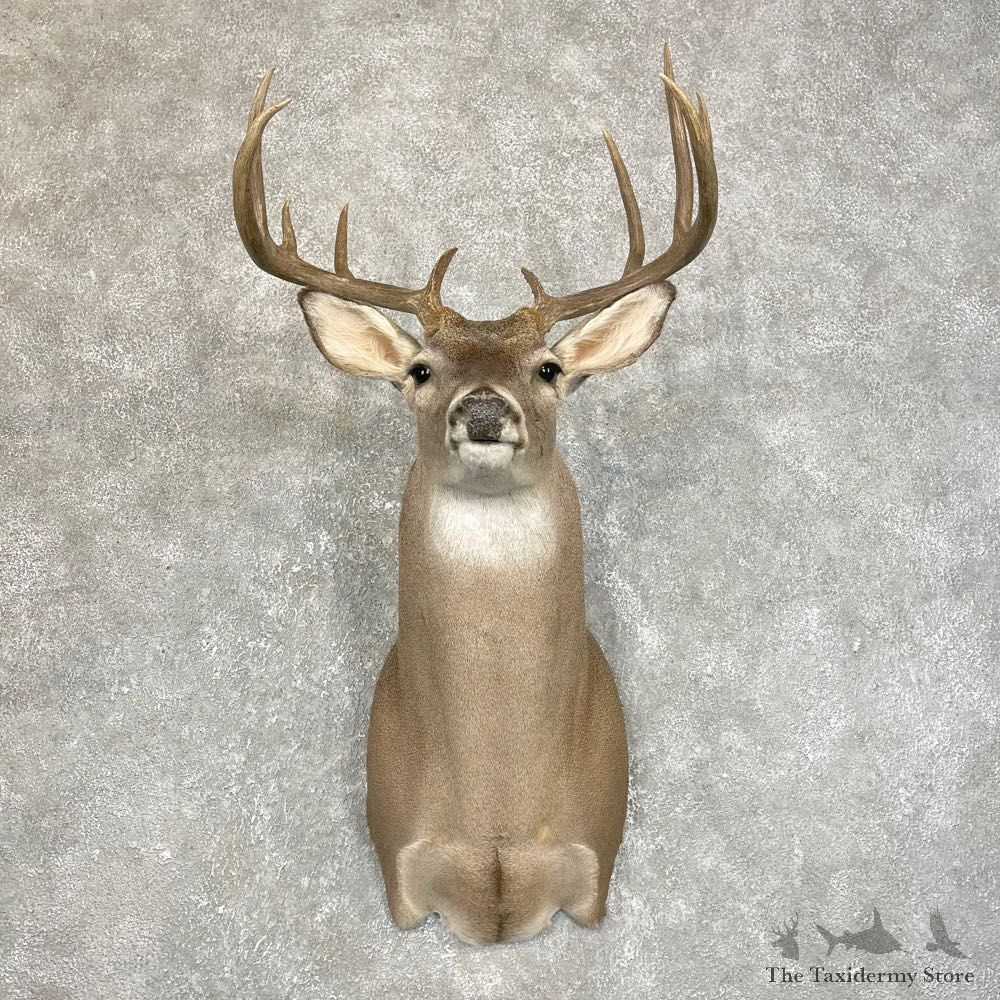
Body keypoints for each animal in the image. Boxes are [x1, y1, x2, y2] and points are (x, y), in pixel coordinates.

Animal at [232, 40, 717, 944]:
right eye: (422, 370)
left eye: (549, 368)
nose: (485, 409)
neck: (496, 807)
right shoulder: (400, 871)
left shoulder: (593, 874)